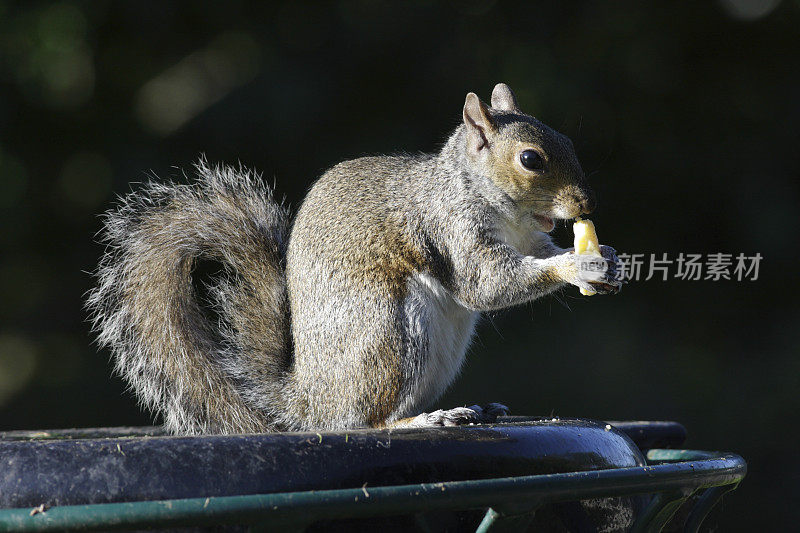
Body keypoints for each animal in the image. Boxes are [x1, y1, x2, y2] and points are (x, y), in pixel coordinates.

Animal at [89, 82, 624, 432]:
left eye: (568, 141)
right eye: (531, 159)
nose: (588, 204)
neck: (480, 193)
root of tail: (311, 402)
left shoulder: (528, 238)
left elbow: (536, 254)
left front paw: (608, 257)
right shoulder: (449, 227)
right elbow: (486, 284)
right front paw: (575, 265)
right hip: (389, 332)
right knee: (371, 420)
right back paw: (424, 419)